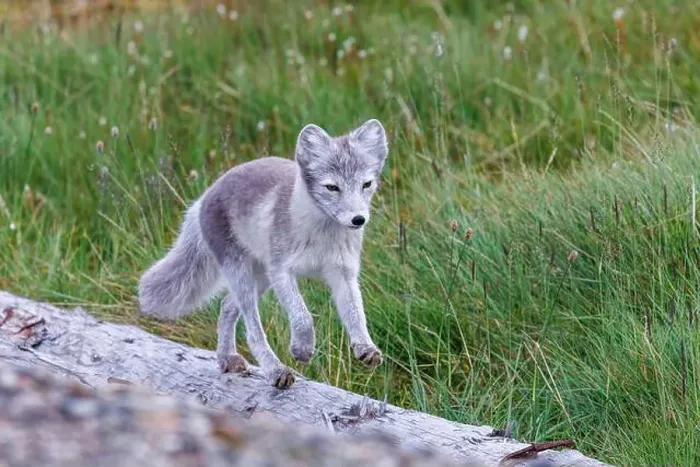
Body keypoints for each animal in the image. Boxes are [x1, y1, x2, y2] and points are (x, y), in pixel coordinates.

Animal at [137, 119, 389, 389]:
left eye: (366, 184)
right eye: (332, 187)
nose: (358, 219)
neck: (322, 235)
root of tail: (205, 196)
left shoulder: (343, 272)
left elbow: (356, 314)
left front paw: (365, 348)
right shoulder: (281, 270)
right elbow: (302, 316)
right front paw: (302, 348)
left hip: (261, 277)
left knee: (227, 306)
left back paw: (227, 358)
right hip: (242, 272)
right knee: (252, 330)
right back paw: (275, 370)